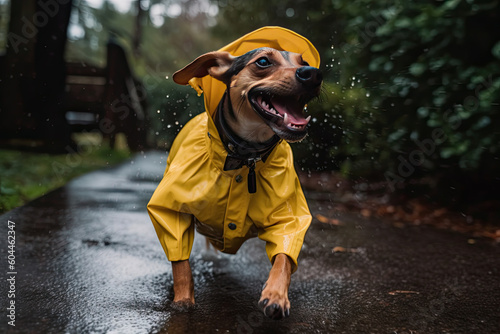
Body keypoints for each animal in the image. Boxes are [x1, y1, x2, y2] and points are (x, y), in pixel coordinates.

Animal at [146, 26, 322, 320]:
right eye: (263, 61)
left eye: (304, 61)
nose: (313, 74)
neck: (245, 157)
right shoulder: (171, 210)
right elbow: (180, 261)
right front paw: (183, 299)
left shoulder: (288, 218)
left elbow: (284, 256)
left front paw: (276, 295)